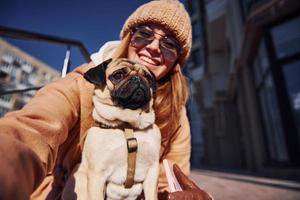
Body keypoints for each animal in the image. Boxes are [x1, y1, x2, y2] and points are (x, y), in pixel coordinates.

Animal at [61, 58, 162, 200]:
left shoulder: (152, 170)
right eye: (118, 75)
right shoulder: (97, 175)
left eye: (147, 77)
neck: (127, 125)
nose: (137, 78)